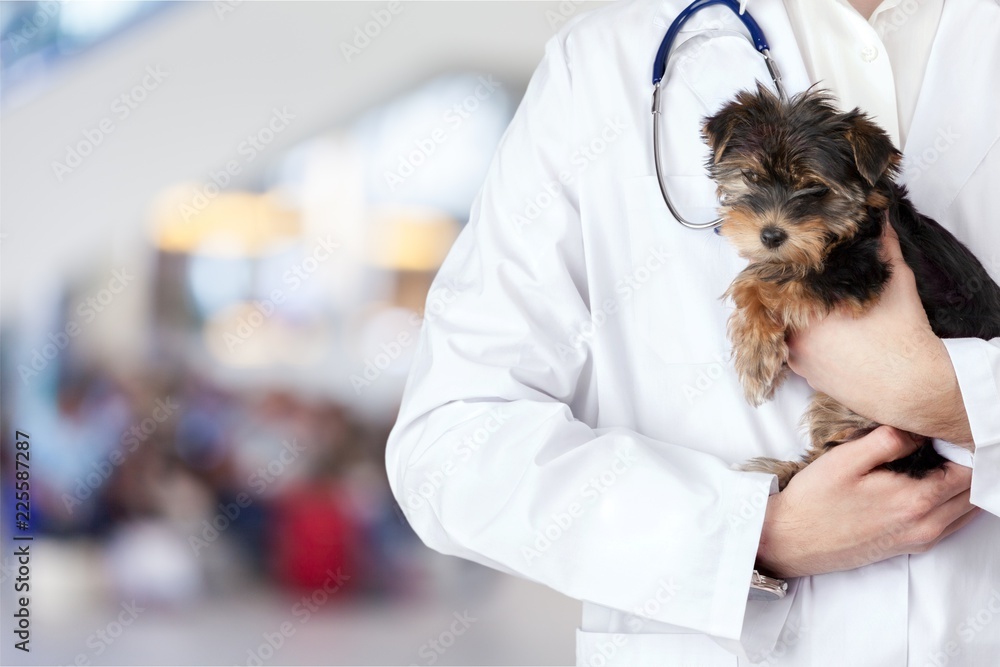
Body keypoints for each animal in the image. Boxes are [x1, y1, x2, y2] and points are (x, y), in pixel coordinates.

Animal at [700, 86, 1000, 488]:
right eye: (751, 176)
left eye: (815, 188)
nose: (771, 235)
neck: (844, 229)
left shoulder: (859, 272)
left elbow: (762, 281)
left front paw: (754, 358)